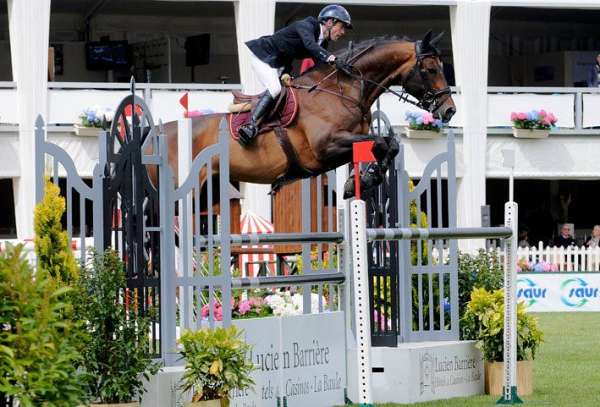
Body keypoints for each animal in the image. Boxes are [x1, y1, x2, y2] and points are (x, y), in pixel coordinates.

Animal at [155, 31, 454, 198]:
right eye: (430, 69)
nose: (450, 110)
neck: (343, 89)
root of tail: (155, 134)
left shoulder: (347, 144)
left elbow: (388, 145)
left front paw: (364, 181)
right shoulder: (327, 146)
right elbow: (381, 142)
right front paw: (362, 181)